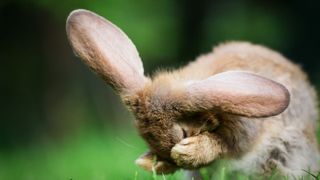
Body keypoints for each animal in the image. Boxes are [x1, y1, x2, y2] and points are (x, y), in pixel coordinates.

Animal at [66, 9, 318, 178]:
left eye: (184, 132)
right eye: (147, 139)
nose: (167, 157)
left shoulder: (244, 130)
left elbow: (226, 144)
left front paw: (186, 153)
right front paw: (153, 163)